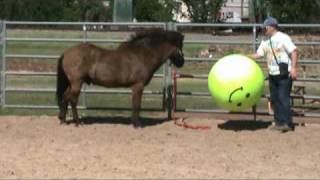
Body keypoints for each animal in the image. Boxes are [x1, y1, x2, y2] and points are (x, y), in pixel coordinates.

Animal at [56, 29, 184, 127]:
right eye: (180, 47)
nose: (182, 62)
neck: (142, 55)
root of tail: (66, 53)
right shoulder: (138, 86)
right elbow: (137, 105)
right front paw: (137, 124)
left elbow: (134, 104)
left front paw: (134, 122)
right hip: (77, 82)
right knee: (72, 100)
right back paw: (77, 122)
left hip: (72, 83)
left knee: (65, 97)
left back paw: (63, 120)